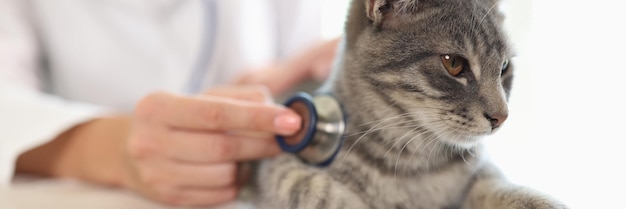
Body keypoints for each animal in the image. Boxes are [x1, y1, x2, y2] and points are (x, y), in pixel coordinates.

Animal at [252, 0, 564, 209]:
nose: (502, 116)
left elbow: (499, 187)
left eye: (504, 67)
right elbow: (311, 188)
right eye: (454, 63)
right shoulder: (277, 166)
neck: (413, 166)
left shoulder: (479, 173)